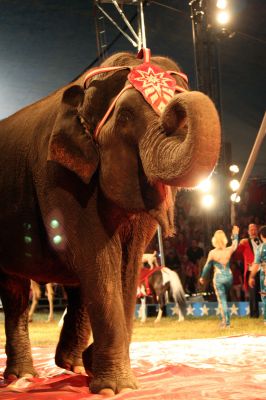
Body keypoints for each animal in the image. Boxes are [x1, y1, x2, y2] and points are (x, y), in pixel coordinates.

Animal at [0, 48, 220, 396]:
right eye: (126, 116)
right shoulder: (57, 176)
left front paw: (97, 371)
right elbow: (98, 258)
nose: (178, 103)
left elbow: (126, 265)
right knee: (17, 291)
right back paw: (20, 376)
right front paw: (113, 389)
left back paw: (70, 366)